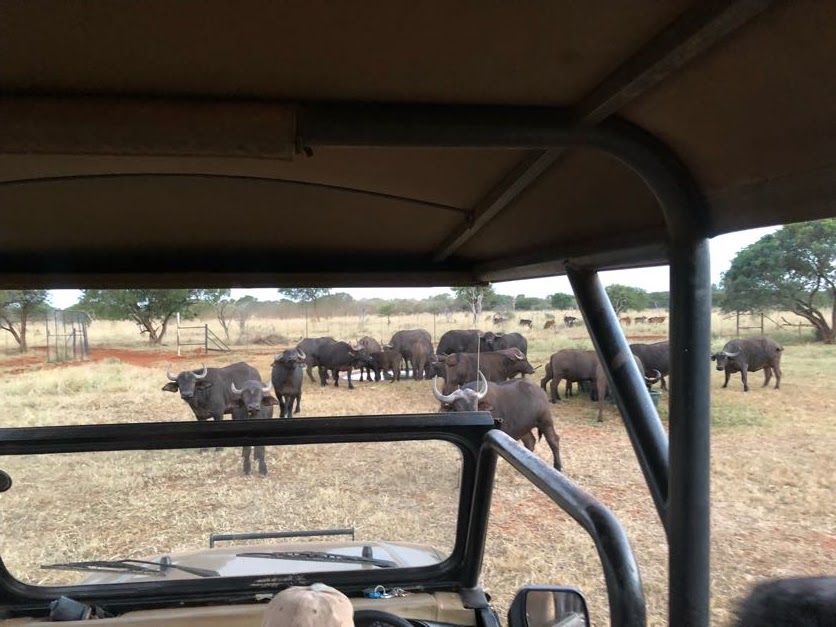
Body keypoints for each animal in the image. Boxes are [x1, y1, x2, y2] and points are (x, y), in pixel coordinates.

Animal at [433, 372, 562, 471]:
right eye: (459, 407)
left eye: (475, 406)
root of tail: (539, 390)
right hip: (524, 427)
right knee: (530, 441)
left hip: (545, 421)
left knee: (553, 440)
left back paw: (557, 467)